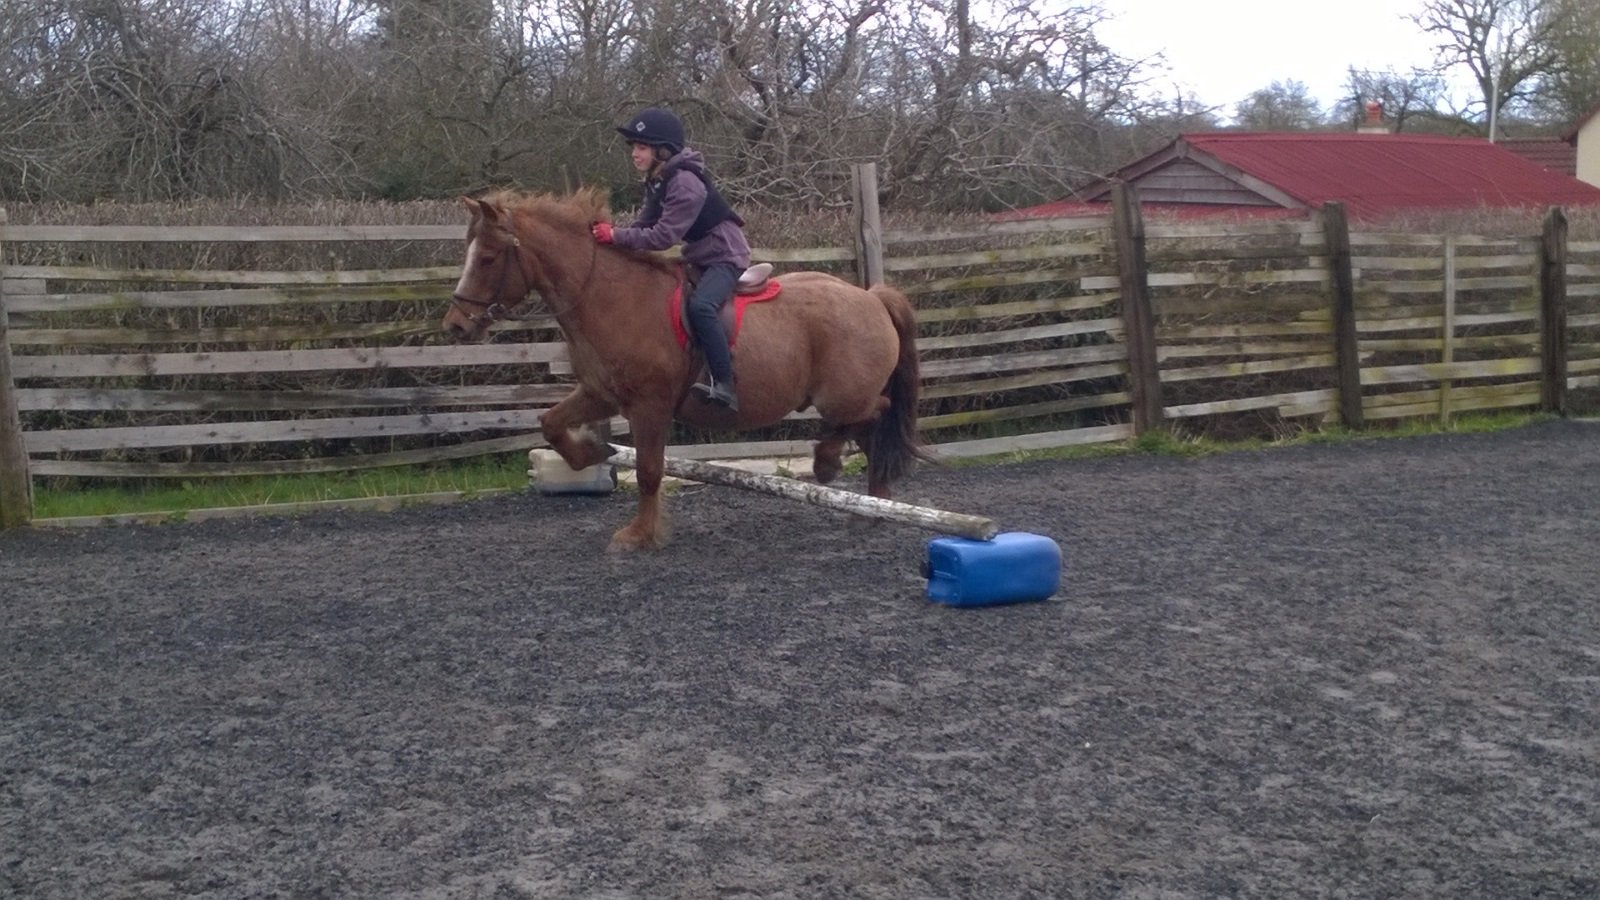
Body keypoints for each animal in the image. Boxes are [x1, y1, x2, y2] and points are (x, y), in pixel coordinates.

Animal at [442, 188, 931, 552]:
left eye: (487, 258)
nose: (456, 325)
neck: (609, 296)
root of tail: (871, 297)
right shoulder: (600, 394)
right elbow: (551, 424)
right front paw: (592, 453)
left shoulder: (649, 405)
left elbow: (649, 471)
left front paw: (639, 535)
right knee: (870, 432)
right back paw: (874, 508)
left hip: (841, 396)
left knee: (873, 414)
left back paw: (830, 466)